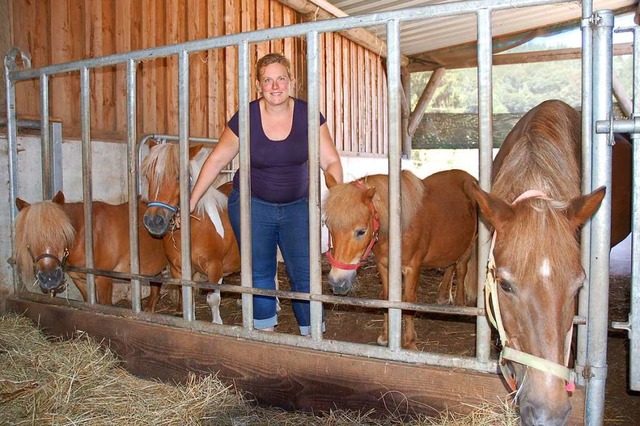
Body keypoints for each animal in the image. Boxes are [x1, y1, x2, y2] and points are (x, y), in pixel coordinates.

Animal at [14, 191, 169, 304]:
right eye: (28, 238)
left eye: (62, 233)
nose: (49, 278)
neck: (87, 238)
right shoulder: (79, 280)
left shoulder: (103, 279)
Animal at [140, 143, 240, 322]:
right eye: (148, 175)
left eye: (179, 177)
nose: (153, 221)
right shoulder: (178, 269)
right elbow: (187, 297)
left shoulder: (215, 267)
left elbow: (213, 299)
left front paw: (217, 323)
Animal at [324, 169, 480, 350]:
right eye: (328, 227)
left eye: (361, 231)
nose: (337, 282)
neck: (397, 229)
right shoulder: (384, 265)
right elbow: (386, 297)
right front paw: (386, 336)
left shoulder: (412, 268)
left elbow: (408, 301)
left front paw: (409, 342)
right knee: (450, 264)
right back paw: (443, 296)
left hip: (469, 244)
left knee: (461, 269)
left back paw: (460, 305)